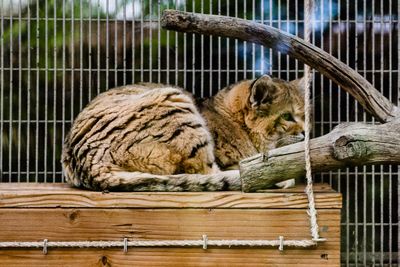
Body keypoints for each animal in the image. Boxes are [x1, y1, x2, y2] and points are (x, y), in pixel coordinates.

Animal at [62, 75, 304, 193]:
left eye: (304, 116)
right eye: (287, 116)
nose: (305, 132)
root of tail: (91, 166)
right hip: (176, 104)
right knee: (208, 173)